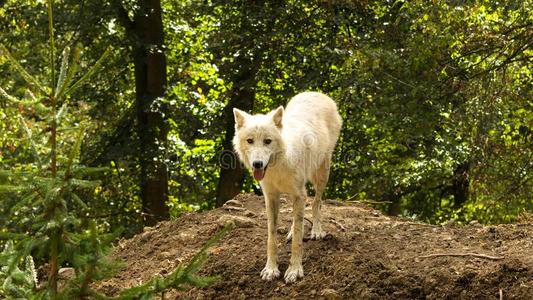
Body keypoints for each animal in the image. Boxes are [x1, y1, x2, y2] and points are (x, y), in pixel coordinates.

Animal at [232, 91, 340, 284]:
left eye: (267, 141)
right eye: (250, 140)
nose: (257, 164)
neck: (278, 167)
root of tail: (317, 93)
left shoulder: (299, 194)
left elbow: (298, 239)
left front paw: (294, 270)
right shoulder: (271, 197)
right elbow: (272, 237)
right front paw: (270, 269)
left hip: (322, 173)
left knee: (316, 202)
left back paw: (316, 231)